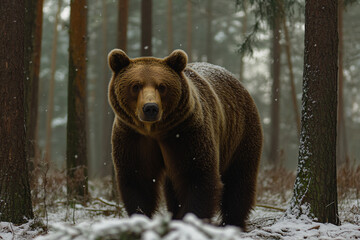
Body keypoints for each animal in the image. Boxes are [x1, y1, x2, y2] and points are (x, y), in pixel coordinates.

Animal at [106, 48, 262, 229]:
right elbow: (138, 177)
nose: (150, 108)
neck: (155, 131)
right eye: (136, 86)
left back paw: (232, 222)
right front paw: (141, 218)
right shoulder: (134, 137)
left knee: (239, 179)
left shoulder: (186, 133)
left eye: (162, 86)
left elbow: (197, 176)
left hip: (241, 133)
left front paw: (189, 220)